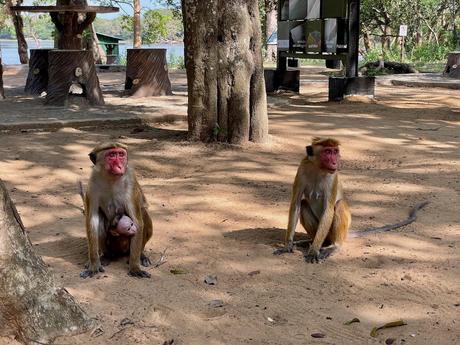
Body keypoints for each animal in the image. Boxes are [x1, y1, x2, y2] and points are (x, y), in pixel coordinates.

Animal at [80, 141, 154, 278]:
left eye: (121, 154)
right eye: (112, 155)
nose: (120, 166)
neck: (111, 178)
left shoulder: (130, 181)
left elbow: (137, 221)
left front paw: (135, 267)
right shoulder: (92, 184)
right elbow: (92, 221)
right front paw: (93, 264)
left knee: (143, 213)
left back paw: (140, 255)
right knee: (100, 220)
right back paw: (106, 257)